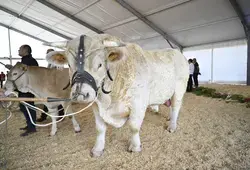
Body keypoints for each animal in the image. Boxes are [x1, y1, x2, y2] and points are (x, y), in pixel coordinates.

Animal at [45, 34, 189, 157]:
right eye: (69, 65)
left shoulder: (138, 103)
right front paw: (97, 149)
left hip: (179, 88)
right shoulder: (97, 105)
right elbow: (100, 129)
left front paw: (135, 147)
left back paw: (172, 126)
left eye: (100, 64)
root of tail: (177, 52)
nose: (80, 94)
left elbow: (134, 127)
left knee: (175, 107)